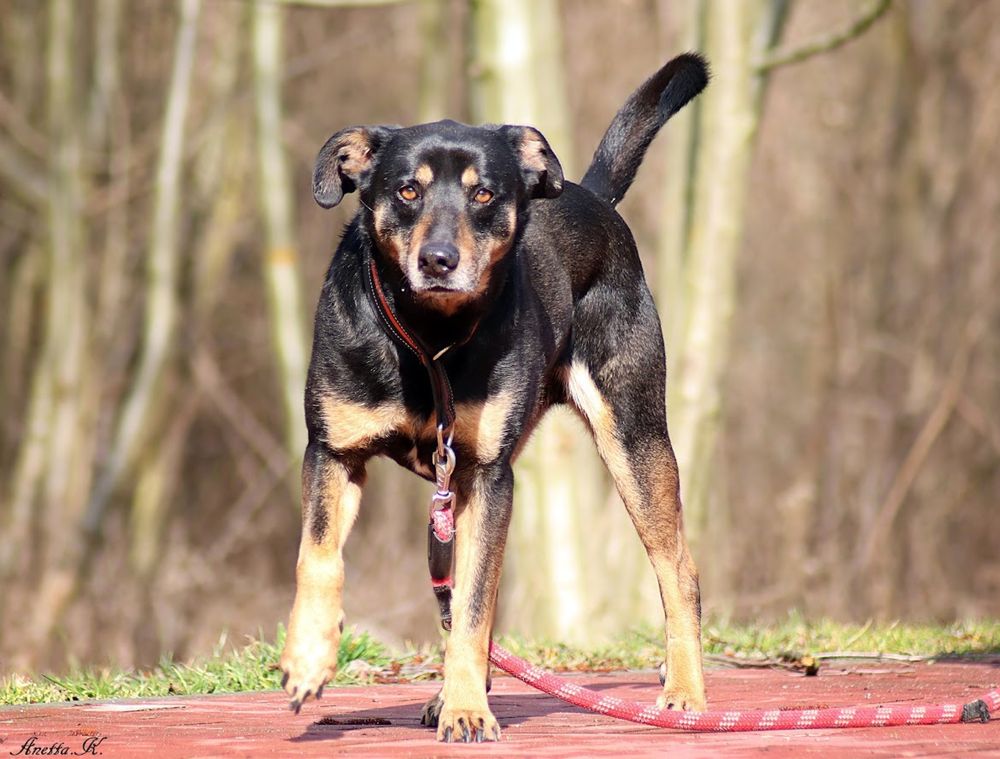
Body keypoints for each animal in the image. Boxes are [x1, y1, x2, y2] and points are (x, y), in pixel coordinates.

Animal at [282, 52, 712, 744]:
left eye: (484, 193)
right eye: (407, 190)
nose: (438, 260)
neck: (429, 339)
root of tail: (592, 196)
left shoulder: (487, 473)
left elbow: (475, 603)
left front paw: (465, 709)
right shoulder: (334, 451)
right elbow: (318, 558)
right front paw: (308, 658)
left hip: (635, 437)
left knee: (679, 574)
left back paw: (684, 694)